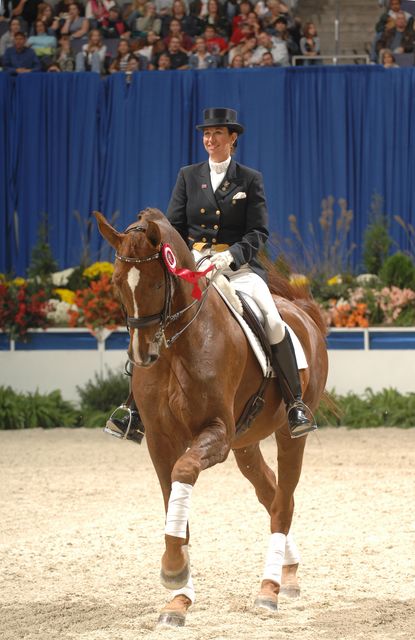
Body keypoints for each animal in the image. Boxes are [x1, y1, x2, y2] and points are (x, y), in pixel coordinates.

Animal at [96, 208, 330, 628]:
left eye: (156, 282)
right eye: (117, 283)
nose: (142, 355)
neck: (176, 346)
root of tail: (302, 314)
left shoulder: (216, 434)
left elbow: (184, 473)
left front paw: (174, 570)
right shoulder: (160, 440)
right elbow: (173, 499)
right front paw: (178, 597)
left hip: (290, 433)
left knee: (283, 503)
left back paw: (269, 589)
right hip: (245, 443)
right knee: (271, 494)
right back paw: (288, 574)